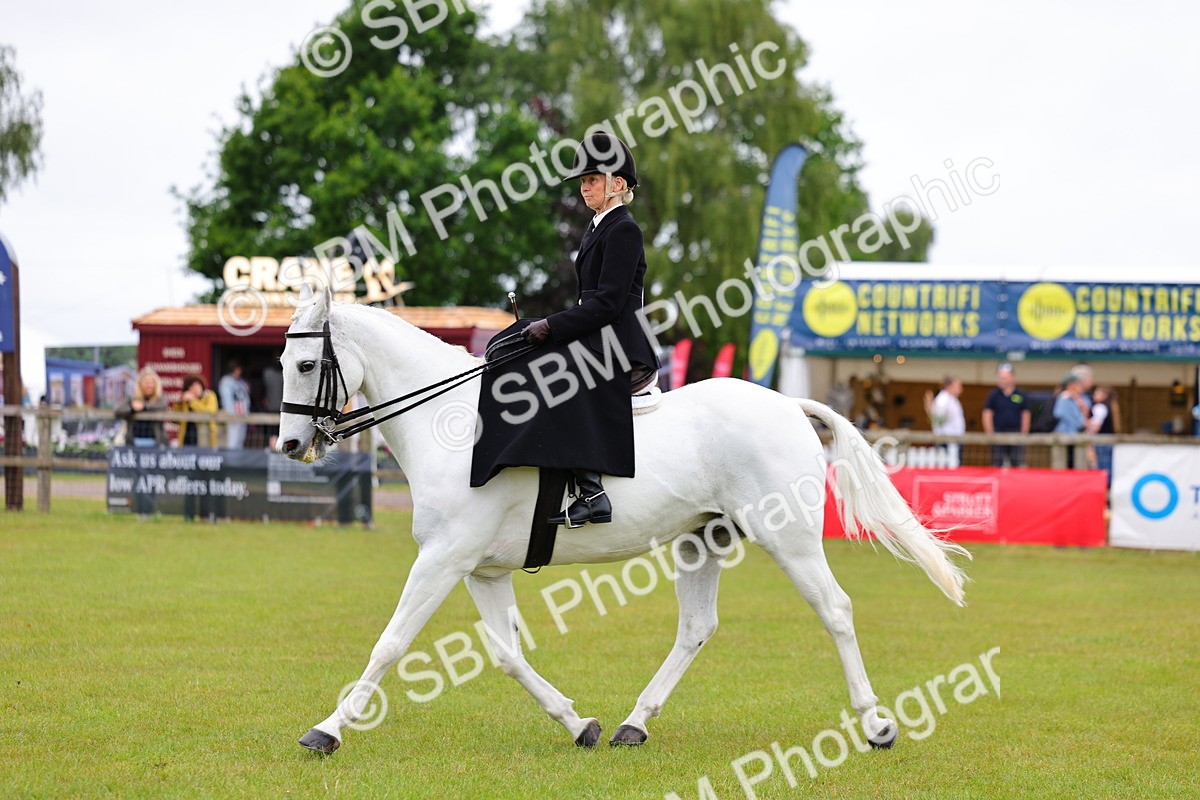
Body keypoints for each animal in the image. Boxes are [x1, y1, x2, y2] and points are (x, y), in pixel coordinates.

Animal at [278, 284, 970, 754]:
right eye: (283, 364)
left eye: (307, 365)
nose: (290, 446)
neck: (451, 423)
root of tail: (786, 404)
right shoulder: (480, 569)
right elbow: (507, 655)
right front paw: (577, 723)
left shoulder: (443, 560)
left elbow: (390, 644)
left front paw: (326, 731)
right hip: (702, 540)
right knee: (696, 627)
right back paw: (633, 724)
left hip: (789, 539)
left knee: (835, 610)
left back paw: (876, 723)